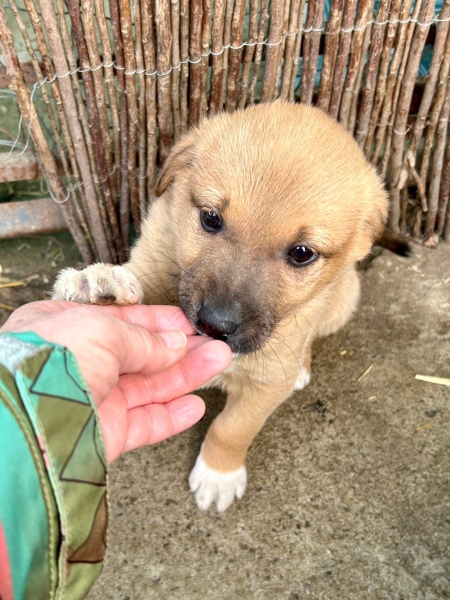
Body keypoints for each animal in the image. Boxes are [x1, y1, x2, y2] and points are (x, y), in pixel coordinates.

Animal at [53, 102, 389, 512]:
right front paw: (97, 286)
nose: (215, 325)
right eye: (211, 218)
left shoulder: (265, 384)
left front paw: (218, 474)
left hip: (343, 299)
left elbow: (232, 429)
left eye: (302, 253)